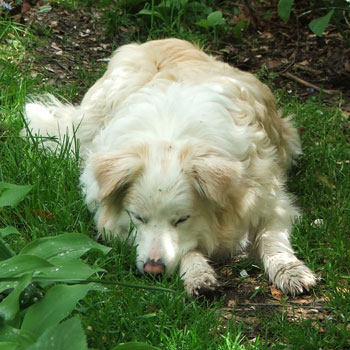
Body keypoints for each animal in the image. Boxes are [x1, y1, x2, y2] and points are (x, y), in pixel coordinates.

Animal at [22, 37, 318, 296]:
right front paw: (198, 275)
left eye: (181, 219)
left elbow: (272, 239)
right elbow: (187, 251)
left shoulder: (272, 202)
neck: (171, 139)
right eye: (137, 218)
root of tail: (156, 40)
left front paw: (290, 270)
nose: (153, 271)